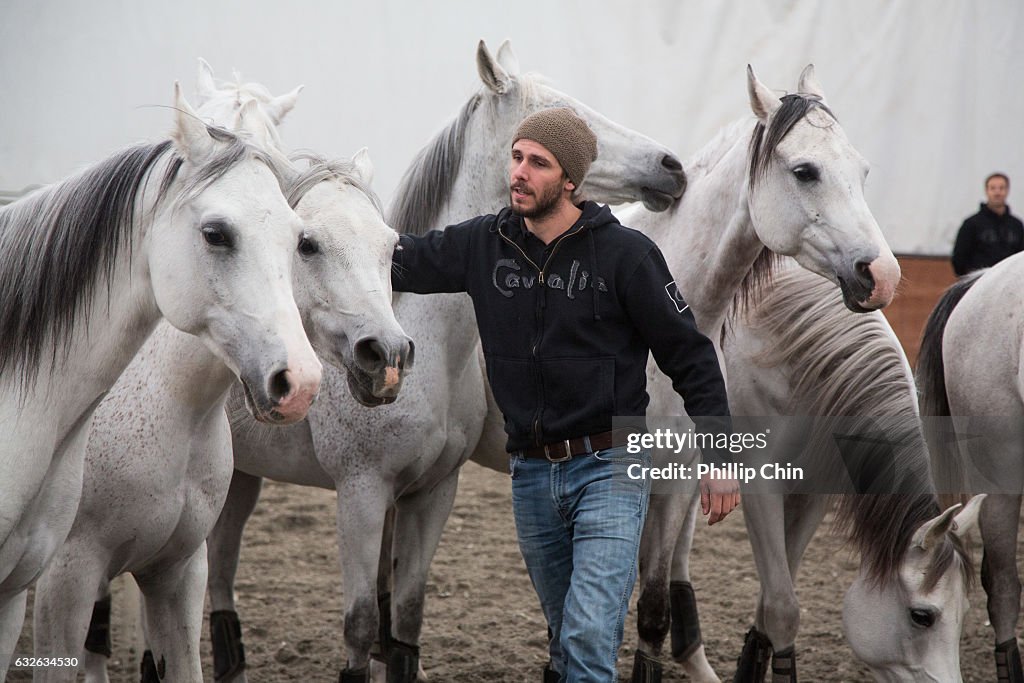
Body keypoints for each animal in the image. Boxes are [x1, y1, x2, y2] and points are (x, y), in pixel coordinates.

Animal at [33, 60, 411, 683]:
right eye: (309, 244)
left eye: (391, 246)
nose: (388, 354)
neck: (170, 399)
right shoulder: (67, 575)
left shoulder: (178, 567)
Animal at [203, 38, 688, 683]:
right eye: (561, 114)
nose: (671, 166)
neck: (425, 341)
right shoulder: (362, 493)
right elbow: (362, 625)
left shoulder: (432, 493)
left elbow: (406, 619)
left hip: (241, 477)